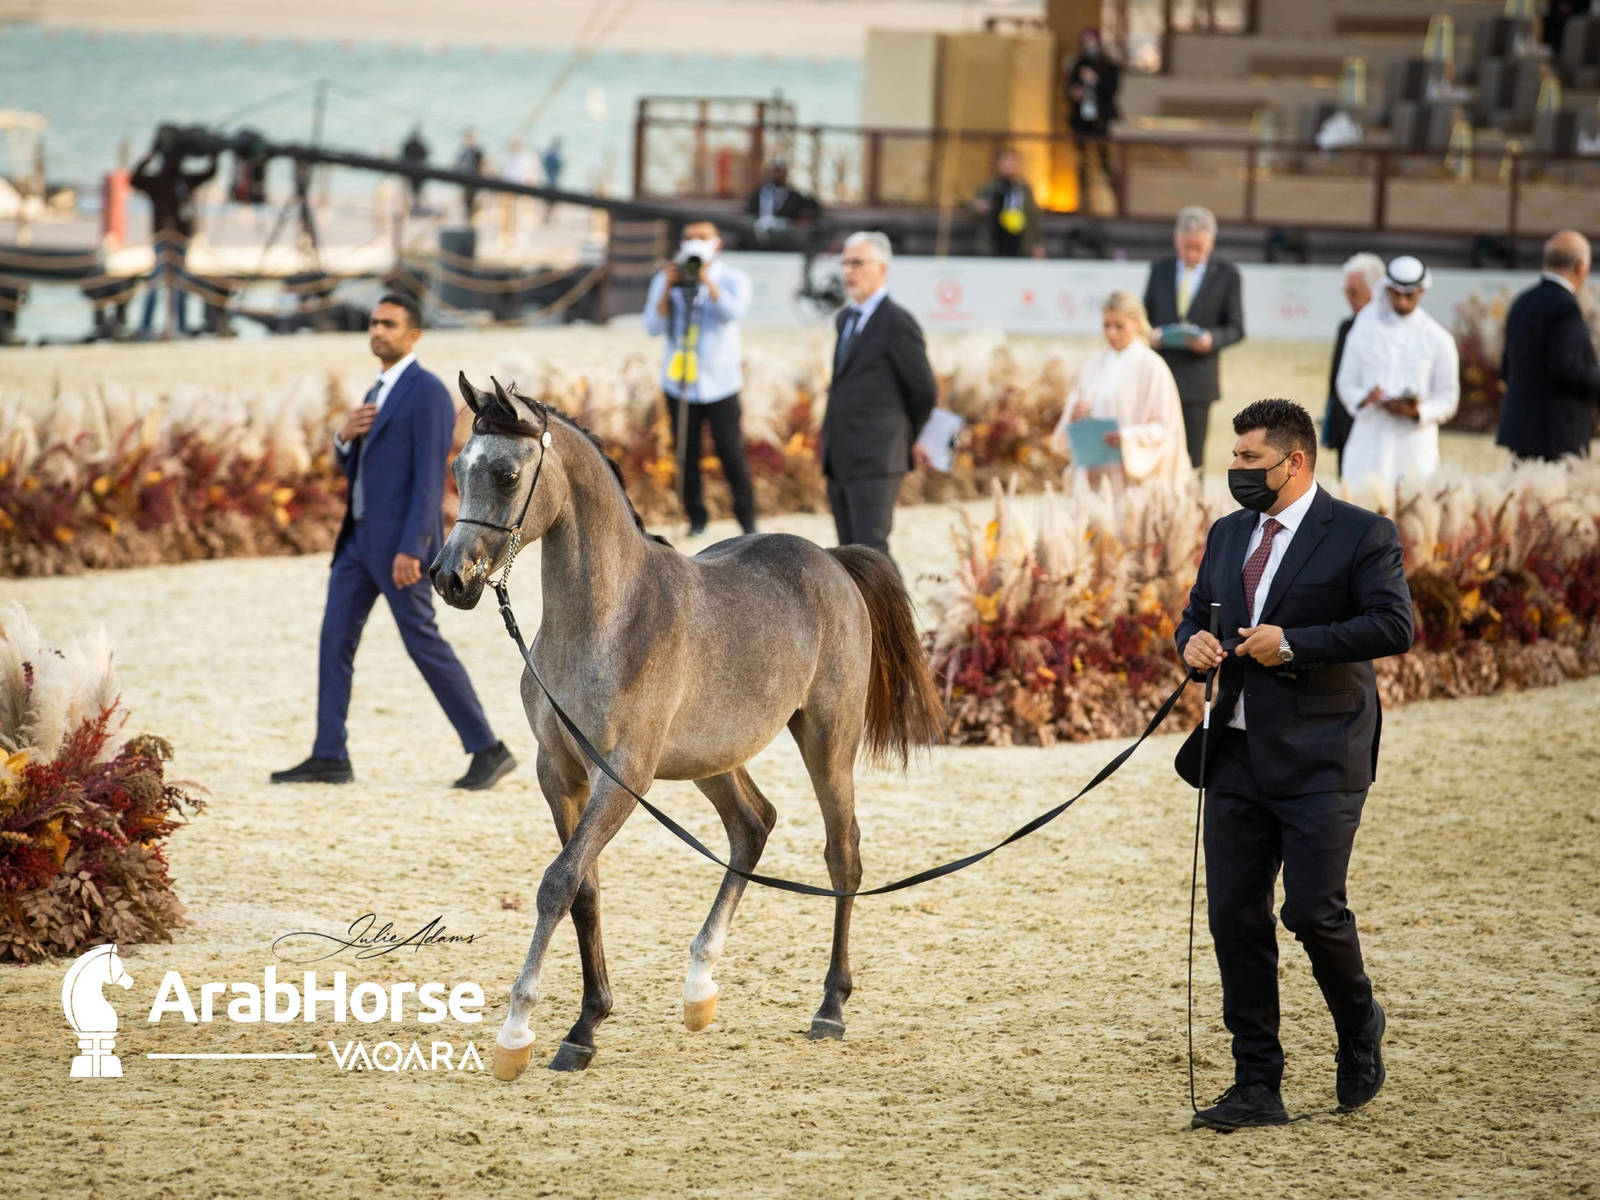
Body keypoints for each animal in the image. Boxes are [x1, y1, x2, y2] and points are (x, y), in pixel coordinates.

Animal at [430, 375, 944, 1079]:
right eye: (458, 468)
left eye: (506, 474)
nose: (450, 578)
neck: (604, 621)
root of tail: (831, 559)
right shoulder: (558, 771)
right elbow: (583, 889)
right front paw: (586, 1025)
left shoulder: (622, 774)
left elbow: (558, 881)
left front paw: (518, 1033)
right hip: (713, 760)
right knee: (753, 826)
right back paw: (699, 988)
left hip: (827, 739)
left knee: (842, 854)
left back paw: (830, 1007)